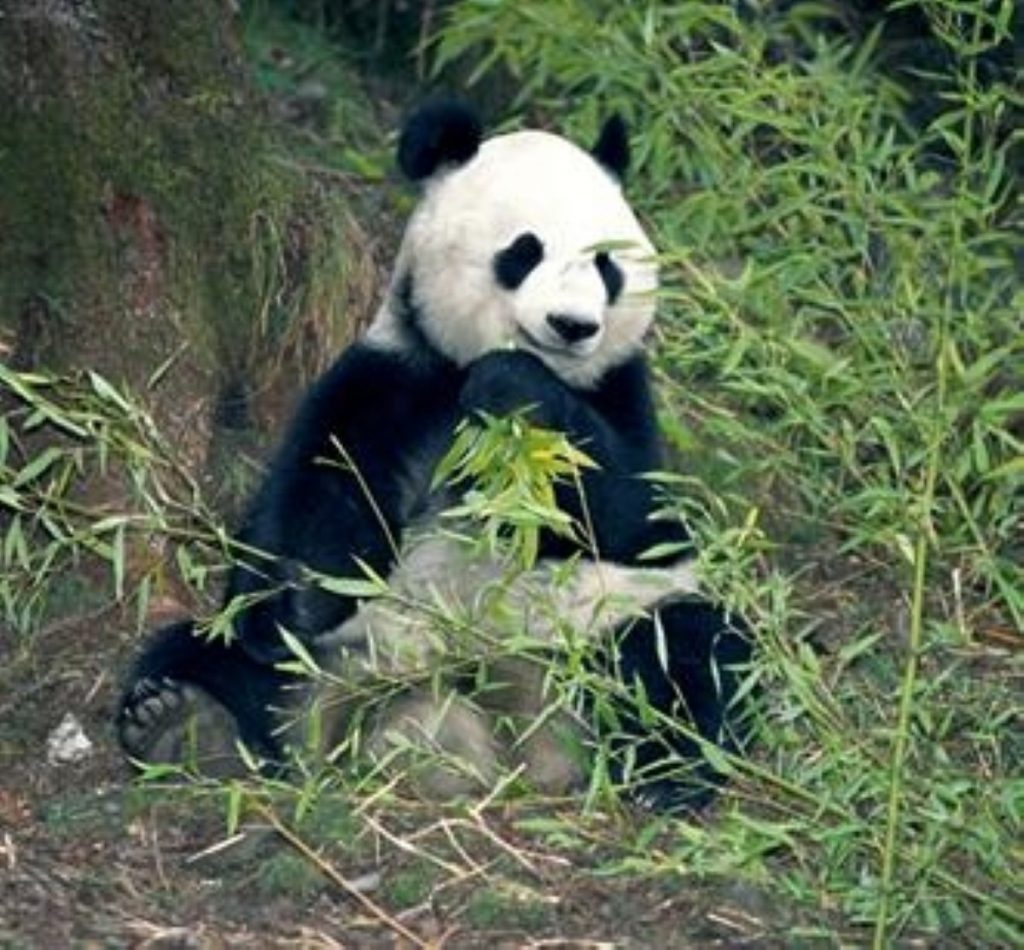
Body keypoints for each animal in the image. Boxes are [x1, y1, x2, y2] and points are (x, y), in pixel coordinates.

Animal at [119, 105, 753, 814]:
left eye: (606, 264)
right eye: (525, 251)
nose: (573, 325)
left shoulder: (620, 392)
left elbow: (635, 516)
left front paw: (515, 389)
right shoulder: (395, 379)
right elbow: (322, 496)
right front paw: (298, 598)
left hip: (598, 620)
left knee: (686, 650)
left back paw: (668, 774)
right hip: (351, 652)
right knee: (215, 659)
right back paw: (183, 725)